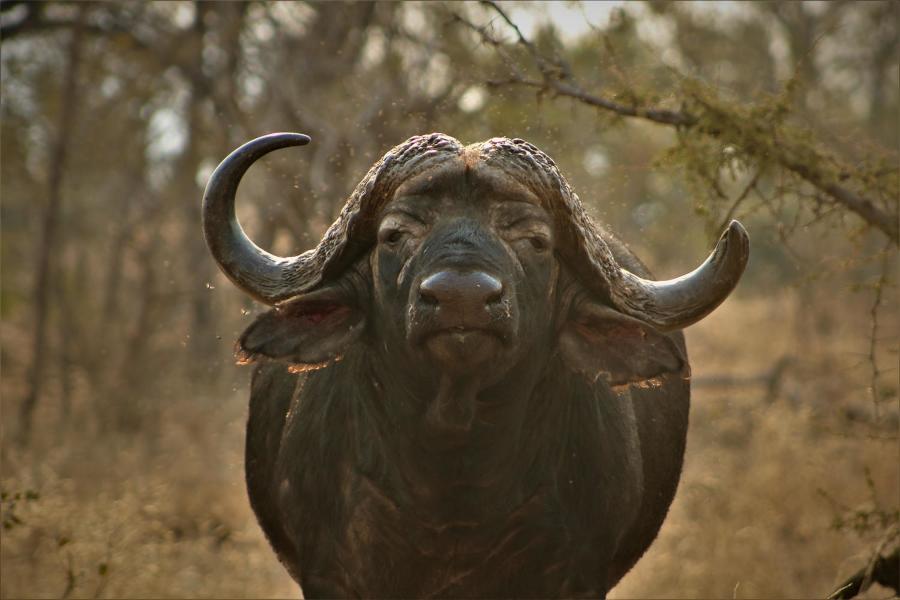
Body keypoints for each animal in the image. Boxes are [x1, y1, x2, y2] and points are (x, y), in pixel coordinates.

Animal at [202, 132, 749, 598]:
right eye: (394, 235)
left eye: (535, 241)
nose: (460, 298)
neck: (456, 479)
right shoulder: (333, 575)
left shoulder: (576, 578)